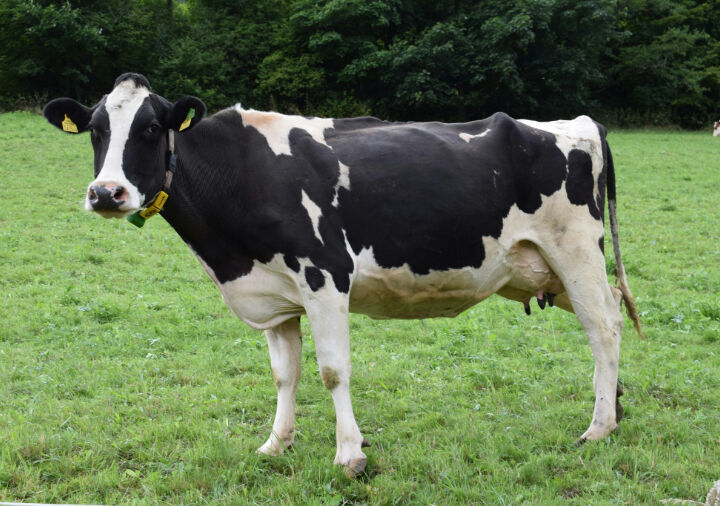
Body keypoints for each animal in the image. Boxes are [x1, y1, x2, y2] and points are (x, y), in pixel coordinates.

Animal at [43, 73, 643, 477]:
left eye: (149, 128)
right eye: (95, 130)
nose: (106, 193)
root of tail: (578, 123)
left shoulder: (325, 277)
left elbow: (332, 370)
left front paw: (350, 454)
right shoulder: (275, 297)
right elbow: (284, 375)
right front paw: (276, 444)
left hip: (576, 253)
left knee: (604, 328)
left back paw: (597, 428)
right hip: (548, 270)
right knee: (612, 314)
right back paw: (614, 408)